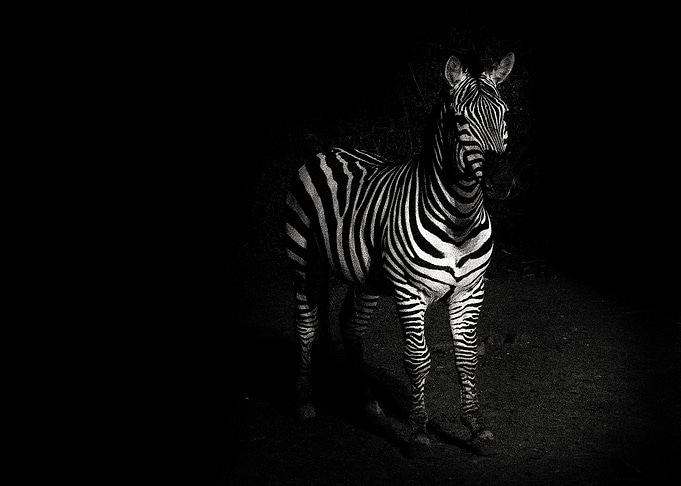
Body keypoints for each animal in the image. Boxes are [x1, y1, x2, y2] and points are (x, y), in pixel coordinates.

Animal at [284, 52, 515, 453]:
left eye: (504, 114)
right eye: (460, 120)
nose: (500, 182)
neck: (460, 215)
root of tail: (329, 150)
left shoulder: (470, 291)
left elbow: (467, 358)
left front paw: (475, 426)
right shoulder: (410, 292)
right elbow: (418, 360)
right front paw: (419, 431)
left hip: (366, 278)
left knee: (351, 326)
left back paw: (369, 405)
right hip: (304, 261)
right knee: (306, 326)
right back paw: (304, 402)